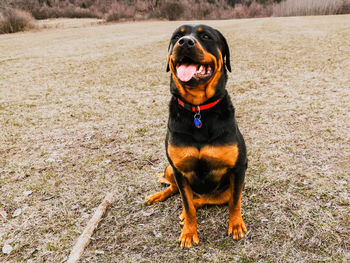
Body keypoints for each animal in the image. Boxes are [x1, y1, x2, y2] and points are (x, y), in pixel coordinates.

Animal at [146, 23, 247, 249]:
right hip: (169, 169)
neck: (198, 109)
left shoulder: (239, 168)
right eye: (177, 36)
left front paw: (236, 224)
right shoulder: (179, 169)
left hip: (223, 189)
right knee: (176, 191)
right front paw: (189, 232)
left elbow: (235, 202)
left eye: (206, 36)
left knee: (205, 199)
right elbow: (187, 203)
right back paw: (158, 197)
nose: (185, 42)